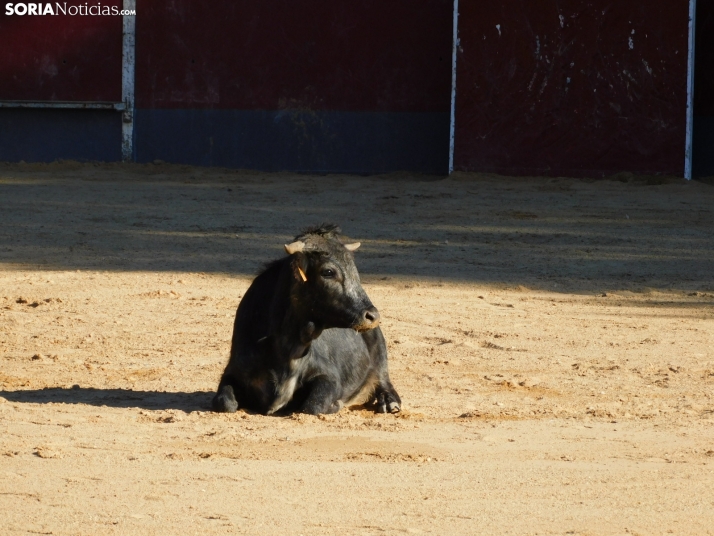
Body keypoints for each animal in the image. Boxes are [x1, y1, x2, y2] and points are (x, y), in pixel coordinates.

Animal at [211, 224, 400, 416]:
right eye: (328, 272)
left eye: (354, 270)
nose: (372, 316)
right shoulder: (232, 371)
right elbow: (224, 402)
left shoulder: (328, 376)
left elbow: (312, 405)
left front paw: (335, 404)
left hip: (380, 355)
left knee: (384, 381)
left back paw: (389, 402)